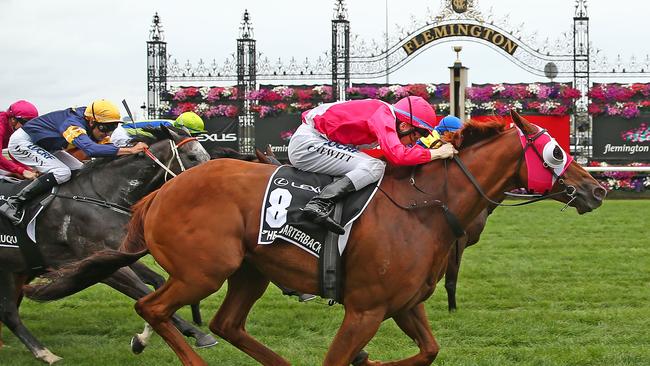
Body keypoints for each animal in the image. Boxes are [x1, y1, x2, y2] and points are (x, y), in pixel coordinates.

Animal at [0, 126, 215, 364]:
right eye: (192, 157)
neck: (100, 196)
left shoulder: (116, 254)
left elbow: (156, 283)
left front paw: (147, 337)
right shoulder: (102, 264)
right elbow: (141, 291)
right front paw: (197, 334)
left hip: (15, 270)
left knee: (8, 311)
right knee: (9, 313)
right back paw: (45, 353)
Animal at [25, 113, 604, 364]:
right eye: (556, 151)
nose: (597, 187)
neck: (424, 210)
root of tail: (158, 193)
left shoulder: (403, 305)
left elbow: (428, 351)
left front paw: (371, 361)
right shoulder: (365, 309)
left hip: (248, 272)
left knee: (226, 323)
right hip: (203, 269)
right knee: (154, 307)